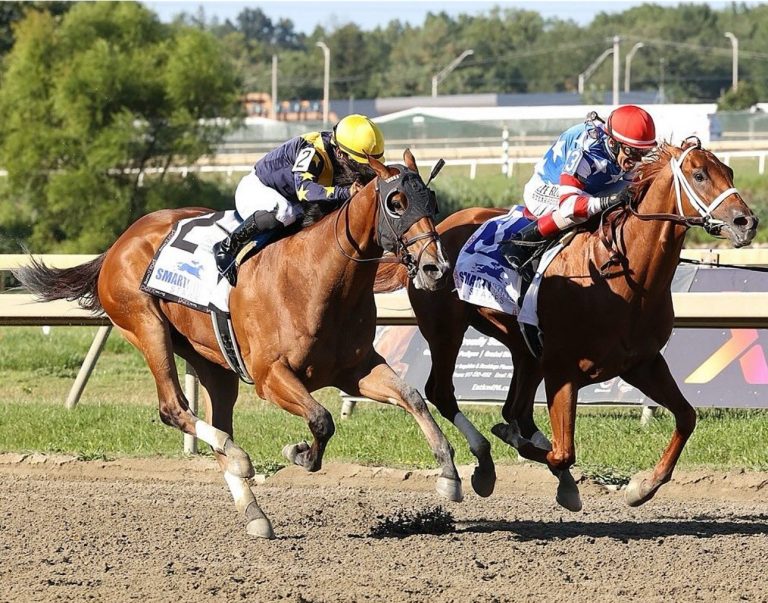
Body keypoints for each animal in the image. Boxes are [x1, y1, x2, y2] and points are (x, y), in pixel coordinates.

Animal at [14, 150, 464, 539]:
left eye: (431, 200)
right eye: (396, 202)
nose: (436, 268)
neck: (315, 275)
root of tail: (119, 243)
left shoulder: (355, 369)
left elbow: (412, 397)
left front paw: (449, 476)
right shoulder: (271, 376)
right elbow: (322, 419)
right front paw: (299, 453)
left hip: (212, 361)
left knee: (218, 422)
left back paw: (254, 512)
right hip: (145, 326)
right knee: (174, 408)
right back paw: (239, 457)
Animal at [375, 139, 758, 509]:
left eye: (728, 171)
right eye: (699, 175)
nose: (747, 221)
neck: (622, 274)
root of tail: (430, 236)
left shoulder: (642, 363)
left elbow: (687, 416)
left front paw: (642, 487)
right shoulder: (563, 371)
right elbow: (562, 452)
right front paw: (514, 441)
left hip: (524, 348)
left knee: (517, 408)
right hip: (446, 330)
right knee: (442, 391)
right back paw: (480, 465)